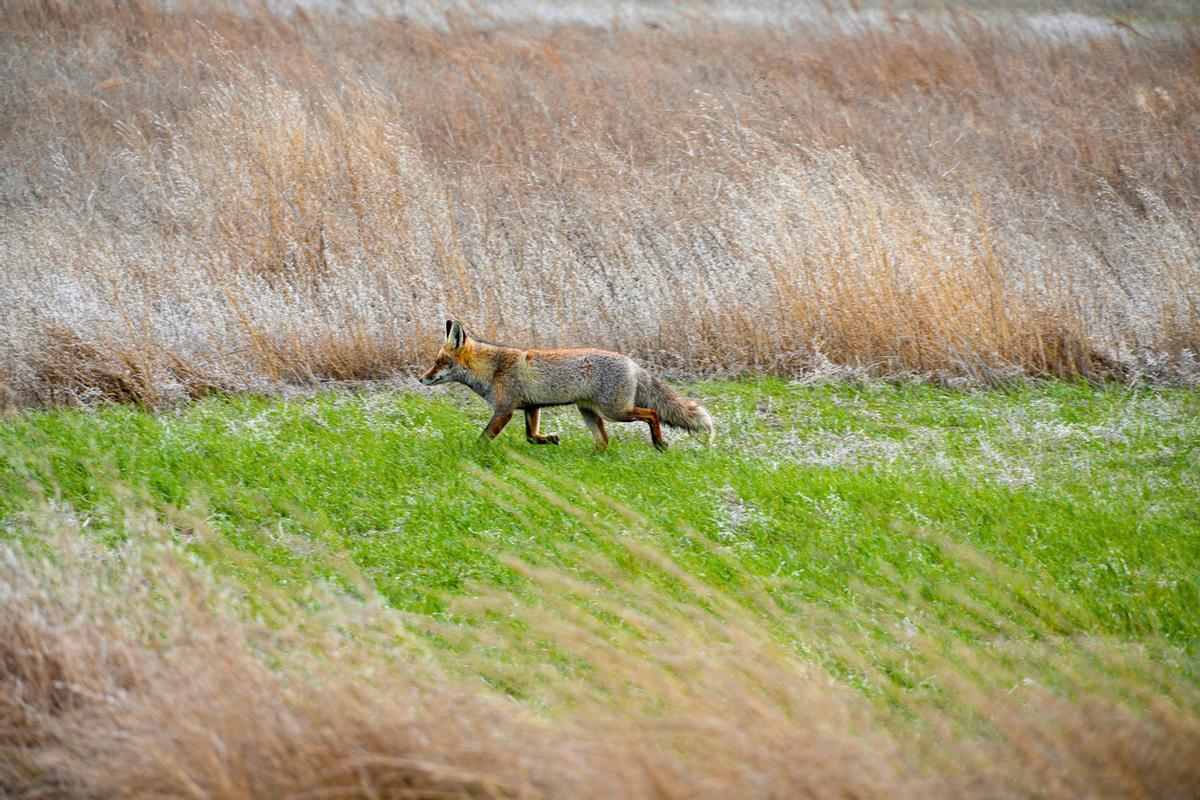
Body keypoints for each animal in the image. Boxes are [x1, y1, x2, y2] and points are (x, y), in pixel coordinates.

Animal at [418, 319, 713, 451]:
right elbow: (531, 436)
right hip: (590, 413)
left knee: (652, 414)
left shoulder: (504, 410)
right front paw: (550, 440)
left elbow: (483, 438)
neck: (492, 369)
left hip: (615, 412)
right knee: (604, 441)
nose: (420, 378)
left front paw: (471, 452)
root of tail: (631, 362)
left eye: (438, 362)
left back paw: (659, 443)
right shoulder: (531, 407)